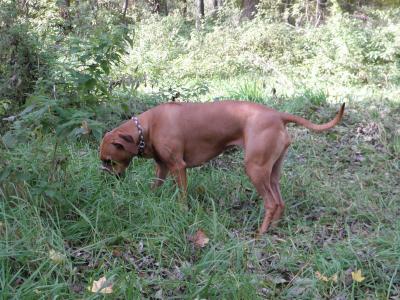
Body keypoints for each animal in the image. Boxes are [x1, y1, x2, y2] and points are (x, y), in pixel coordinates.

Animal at [100, 101, 344, 234]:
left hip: (255, 169)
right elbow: (155, 187)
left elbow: (182, 196)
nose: (107, 180)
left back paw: (260, 233)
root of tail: (277, 115)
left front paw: (182, 213)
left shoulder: (178, 167)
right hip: (272, 172)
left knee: (271, 203)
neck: (147, 127)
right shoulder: (162, 168)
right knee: (280, 202)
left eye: (109, 160)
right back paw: (273, 228)